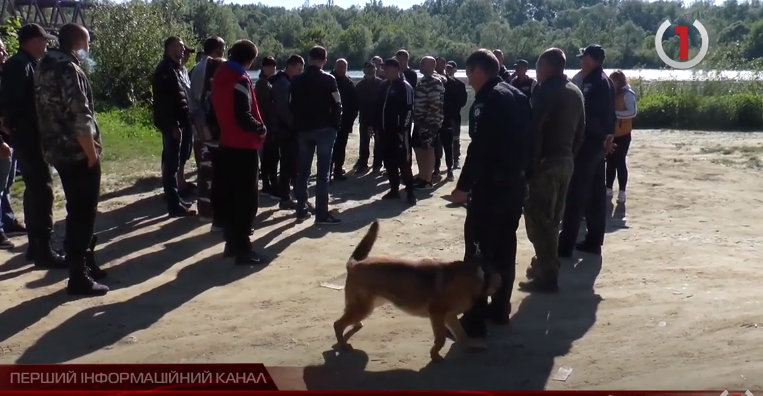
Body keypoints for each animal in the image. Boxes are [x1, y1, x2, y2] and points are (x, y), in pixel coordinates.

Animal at [332, 220, 502, 362]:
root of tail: (354, 264)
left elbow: (462, 335)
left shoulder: (450, 316)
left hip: (368, 305)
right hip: (364, 307)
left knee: (346, 318)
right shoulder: (437, 315)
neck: (479, 275)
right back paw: (343, 345)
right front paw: (435, 356)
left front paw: (470, 347)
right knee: (337, 324)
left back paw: (354, 326)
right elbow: (441, 339)